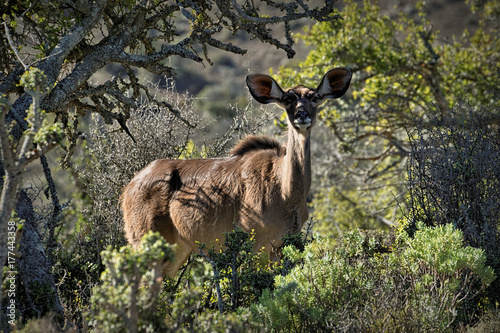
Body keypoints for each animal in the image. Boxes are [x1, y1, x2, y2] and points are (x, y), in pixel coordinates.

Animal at [121, 67, 352, 274]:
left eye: (315, 97)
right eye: (288, 99)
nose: (302, 116)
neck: (286, 192)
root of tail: (129, 188)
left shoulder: (280, 247)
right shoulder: (256, 244)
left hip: (177, 250)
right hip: (145, 244)